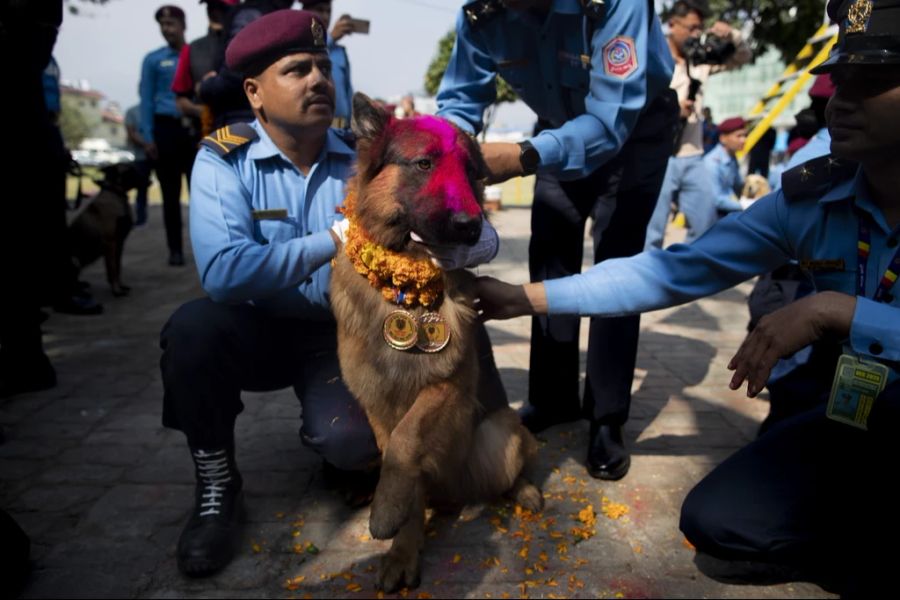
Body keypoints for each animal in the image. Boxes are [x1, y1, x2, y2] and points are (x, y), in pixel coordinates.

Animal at [67, 162, 141, 298]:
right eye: (129, 171)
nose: (149, 179)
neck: (116, 194)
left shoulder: (119, 244)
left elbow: (117, 267)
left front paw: (119, 286)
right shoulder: (110, 243)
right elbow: (112, 268)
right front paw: (116, 290)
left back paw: (81, 286)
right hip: (74, 260)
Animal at [330, 96, 540, 592]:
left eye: (470, 172)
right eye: (424, 164)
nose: (471, 226)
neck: (402, 288)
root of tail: (457, 495)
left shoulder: (448, 388)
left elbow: (407, 442)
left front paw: (385, 512)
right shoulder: (377, 403)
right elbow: (397, 457)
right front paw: (401, 544)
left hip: (501, 434)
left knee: (512, 468)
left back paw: (525, 490)